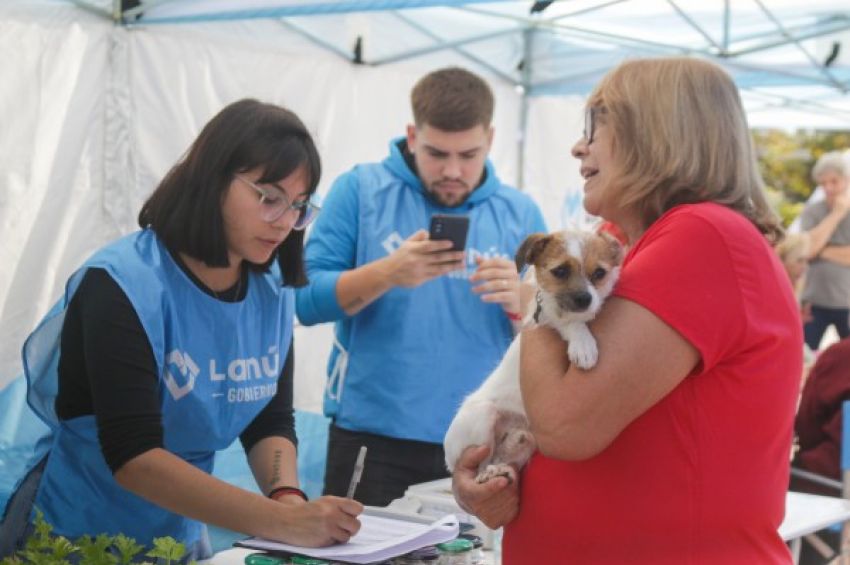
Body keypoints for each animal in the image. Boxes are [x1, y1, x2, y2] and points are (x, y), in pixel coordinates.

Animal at [444, 227, 624, 482]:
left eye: (599, 273)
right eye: (560, 271)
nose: (585, 300)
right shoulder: (544, 313)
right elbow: (569, 322)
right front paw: (583, 344)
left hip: (528, 440)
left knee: (505, 454)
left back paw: (503, 464)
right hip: (483, 417)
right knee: (481, 463)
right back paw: (487, 473)